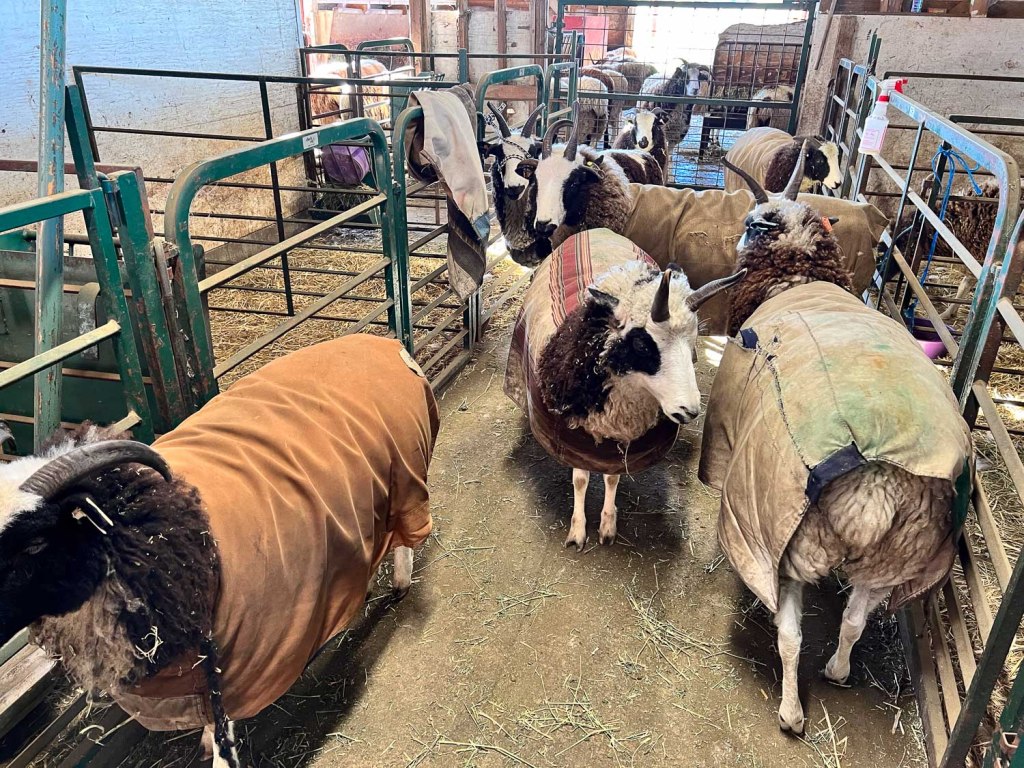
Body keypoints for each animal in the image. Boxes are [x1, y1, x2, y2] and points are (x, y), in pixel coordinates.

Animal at [0, 335, 438, 768]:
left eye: (35, 544)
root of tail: (381, 342)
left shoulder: (231, 671)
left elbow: (224, 740)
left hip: (406, 474)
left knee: (406, 531)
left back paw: (400, 584)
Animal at [505, 228, 745, 549]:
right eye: (642, 343)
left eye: (694, 339)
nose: (690, 410)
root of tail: (596, 229)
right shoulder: (573, 438)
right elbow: (580, 480)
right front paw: (577, 530)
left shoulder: (618, 445)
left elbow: (611, 479)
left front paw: (607, 525)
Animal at [704, 152, 972, 734]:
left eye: (751, 223)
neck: (795, 278)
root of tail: (875, 492)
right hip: (898, 556)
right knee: (852, 620)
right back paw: (839, 670)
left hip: (793, 551)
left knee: (790, 635)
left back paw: (791, 712)